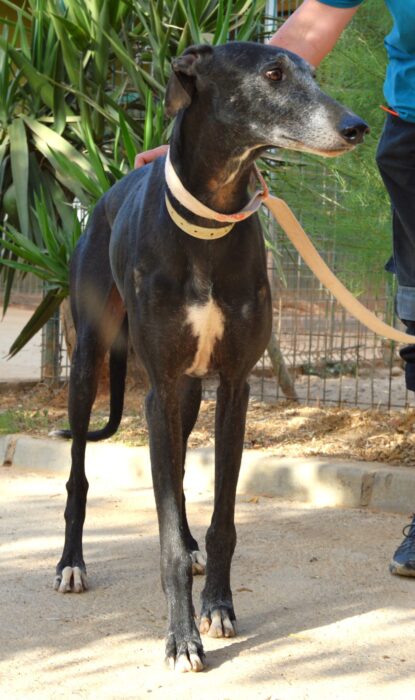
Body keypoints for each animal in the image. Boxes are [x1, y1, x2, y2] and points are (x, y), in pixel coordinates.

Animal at [53, 42, 368, 672]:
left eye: (313, 73)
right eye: (273, 73)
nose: (356, 127)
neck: (209, 222)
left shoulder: (234, 385)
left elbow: (220, 518)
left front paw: (217, 605)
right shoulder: (157, 389)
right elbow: (166, 535)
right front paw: (180, 638)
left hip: (191, 391)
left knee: (174, 473)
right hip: (89, 363)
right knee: (79, 474)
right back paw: (71, 562)